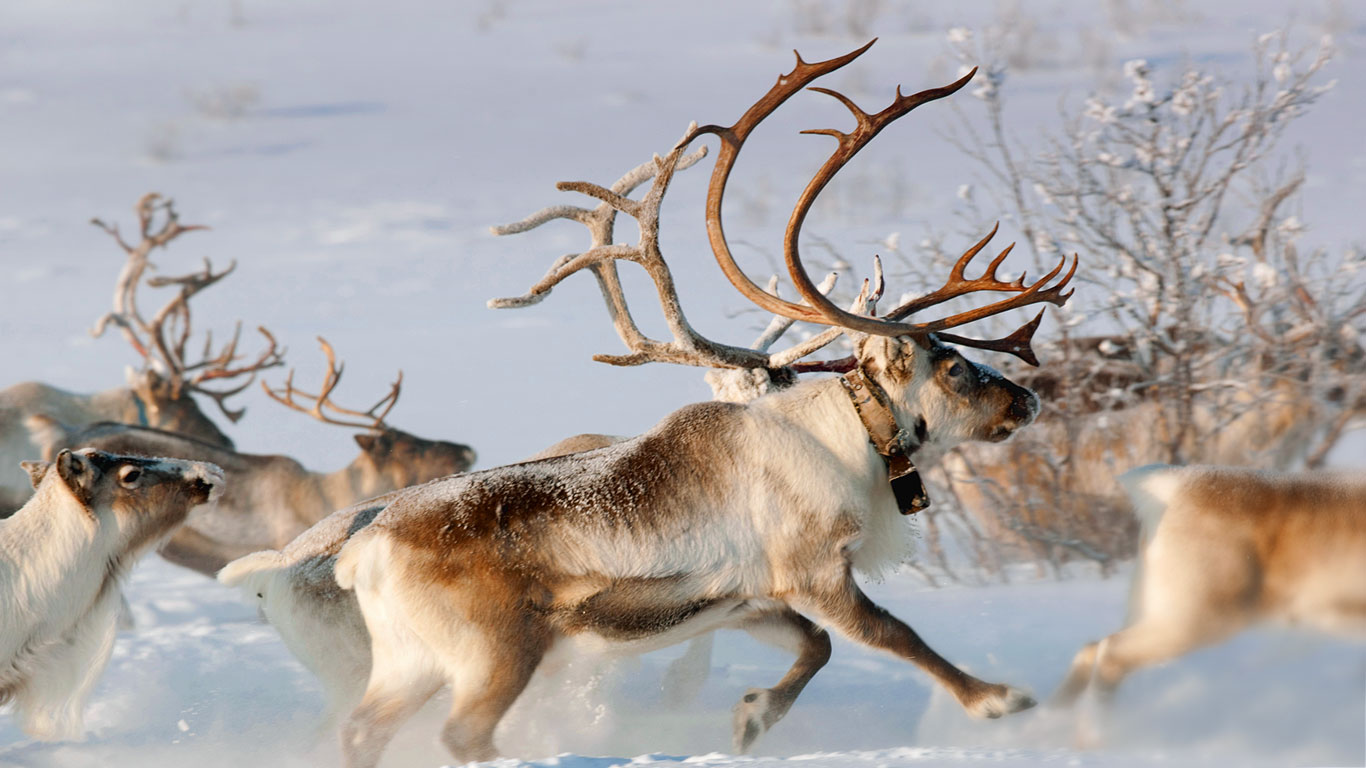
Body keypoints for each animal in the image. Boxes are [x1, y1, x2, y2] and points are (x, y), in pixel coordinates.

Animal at [308, 41, 1078, 768]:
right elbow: (896, 634)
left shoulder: (748, 600)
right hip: (494, 652)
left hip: (409, 663)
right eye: (952, 366)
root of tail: (364, 552)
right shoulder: (815, 572)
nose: (1026, 401)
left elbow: (818, 647)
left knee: (360, 731)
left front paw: (752, 717)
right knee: (463, 733)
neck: (847, 441)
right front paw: (997, 699)